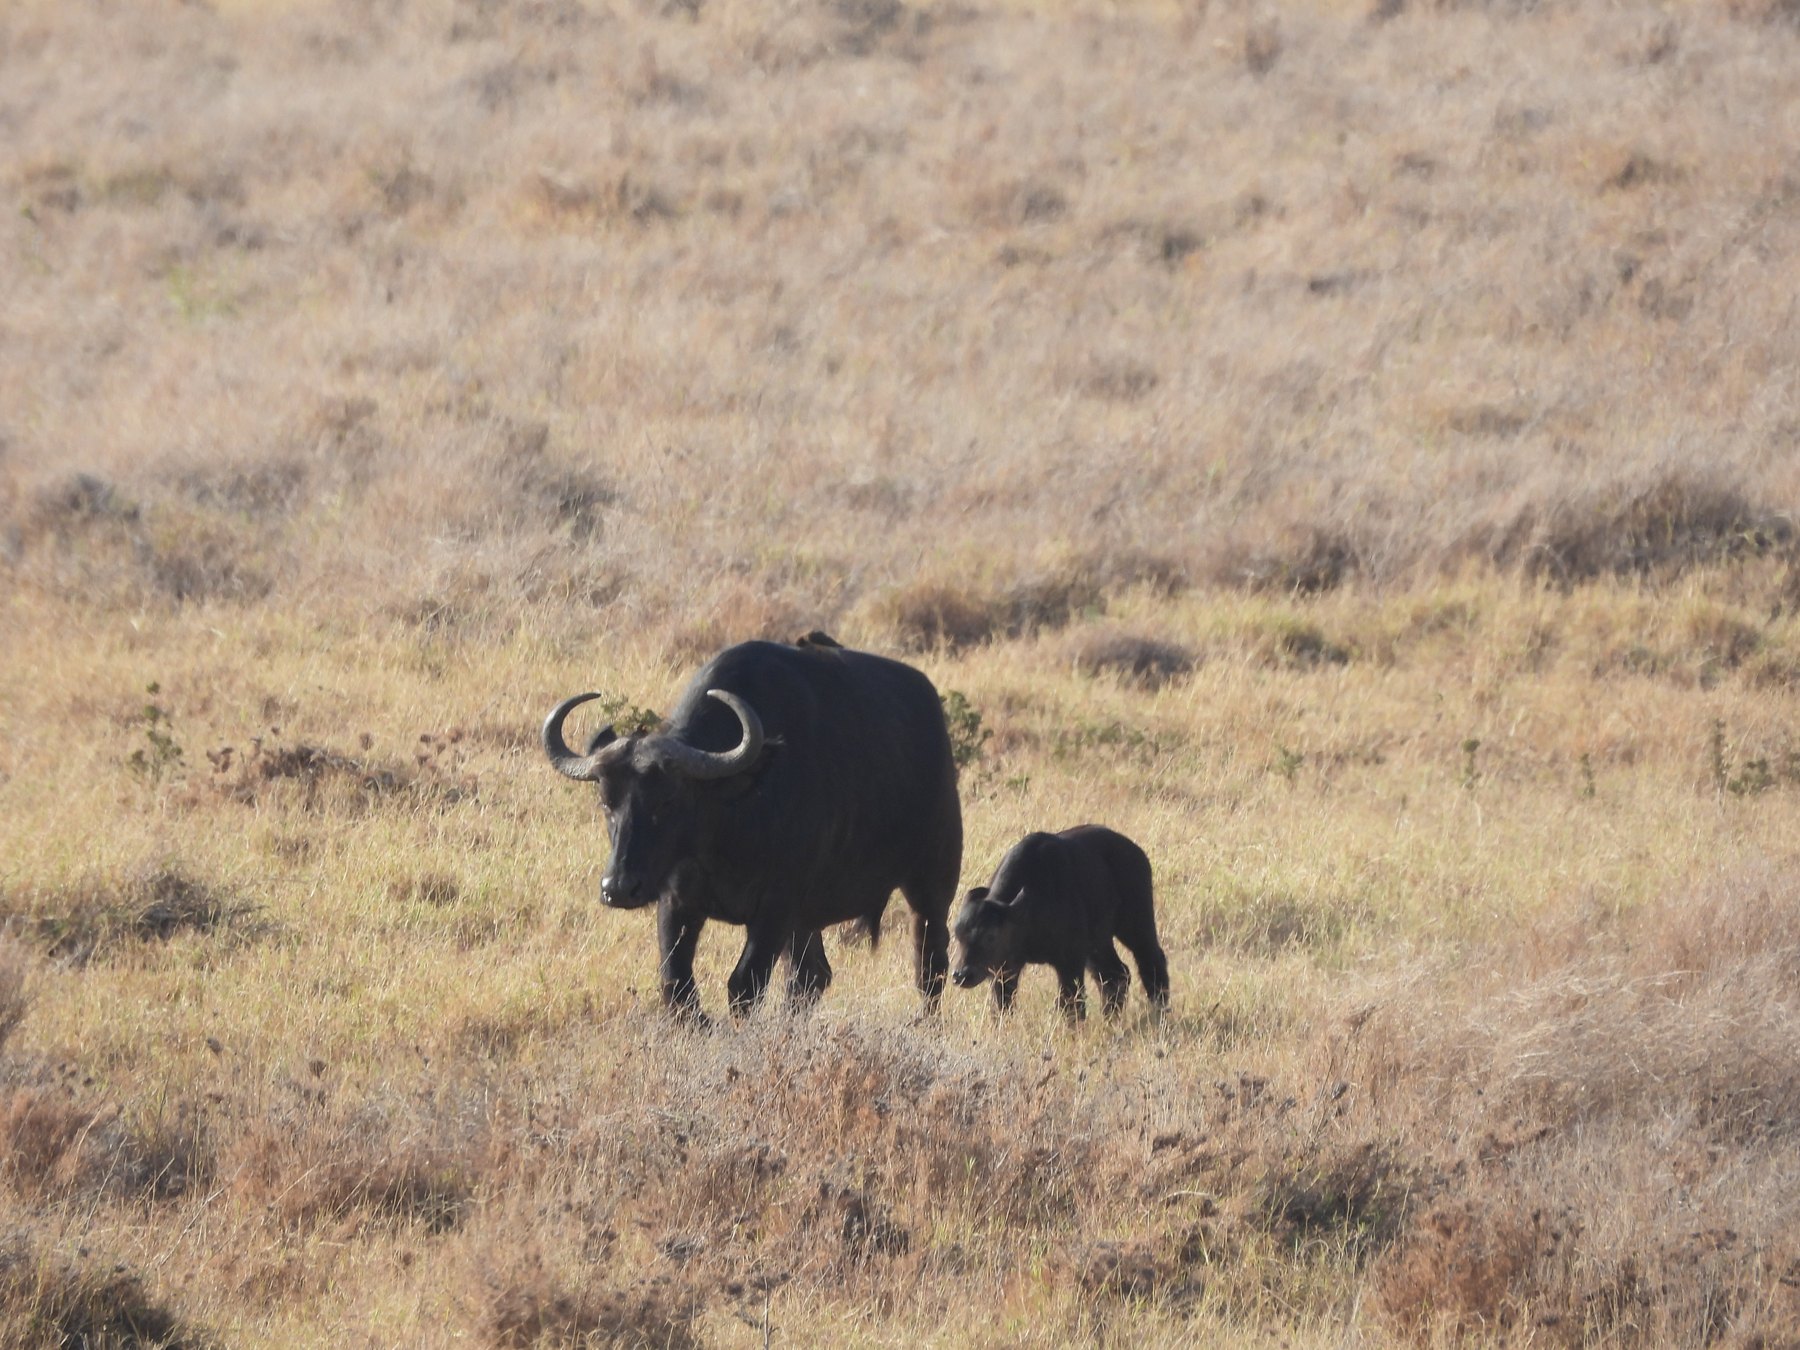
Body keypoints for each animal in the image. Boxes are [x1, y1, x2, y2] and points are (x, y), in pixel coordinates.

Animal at [542, 638, 963, 1020]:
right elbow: (676, 984)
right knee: (811, 977)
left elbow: (744, 984)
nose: (617, 888)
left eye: (668, 800)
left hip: (931, 885)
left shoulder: (776, 908)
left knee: (930, 966)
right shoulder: (676, 902)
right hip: (809, 921)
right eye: (606, 802)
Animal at [951, 825, 1170, 1020]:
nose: (961, 975)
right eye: (958, 935)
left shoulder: (1070, 961)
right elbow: (1002, 1004)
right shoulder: (1005, 970)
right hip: (1098, 943)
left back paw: (1160, 1009)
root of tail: (1137, 854)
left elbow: (1071, 1004)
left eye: (990, 936)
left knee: (1150, 959)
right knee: (1115, 975)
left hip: (1135, 925)